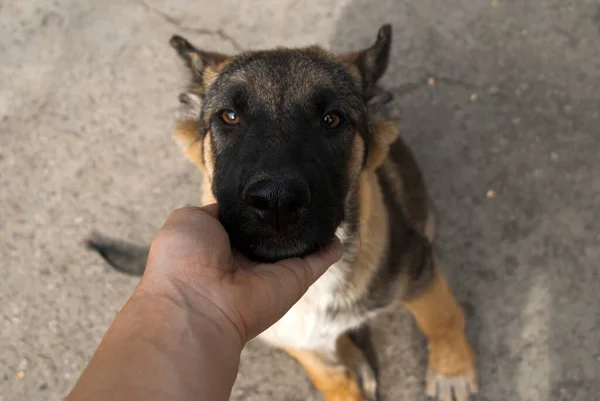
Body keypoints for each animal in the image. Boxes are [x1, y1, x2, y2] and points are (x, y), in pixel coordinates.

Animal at [85, 25, 478, 400]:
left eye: (332, 119)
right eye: (229, 116)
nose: (276, 201)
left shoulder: (418, 269)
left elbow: (441, 318)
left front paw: (451, 372)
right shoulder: (293, 339)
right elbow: (331, 380)